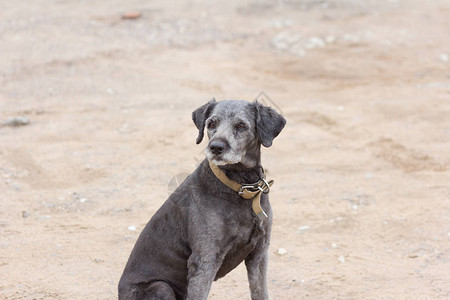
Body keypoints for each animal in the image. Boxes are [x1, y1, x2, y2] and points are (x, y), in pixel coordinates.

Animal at [118, 99, 284, 298]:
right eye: (211, 123)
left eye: (241, 125)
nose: (216, 147)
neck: (239, 187)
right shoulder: (204, 260)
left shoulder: (259, 253)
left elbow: (260, 292)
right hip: (161, 287)